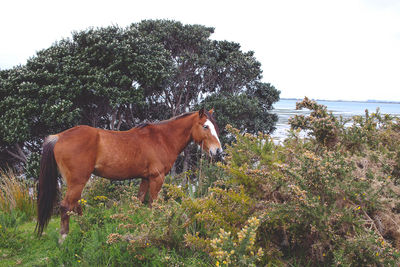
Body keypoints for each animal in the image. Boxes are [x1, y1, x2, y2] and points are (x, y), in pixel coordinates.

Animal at [36, 109, 222, 239]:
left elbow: (139, 202)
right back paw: (64, 237)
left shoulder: (145, 178)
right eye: (205, 126)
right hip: (77, 181)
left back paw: (87, 228)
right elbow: (154, 204)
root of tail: (59, 137)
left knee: (75, 205)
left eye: (215, 126)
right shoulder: (157, 178)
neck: (162, 138)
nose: (218, 151)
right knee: (66, 205)